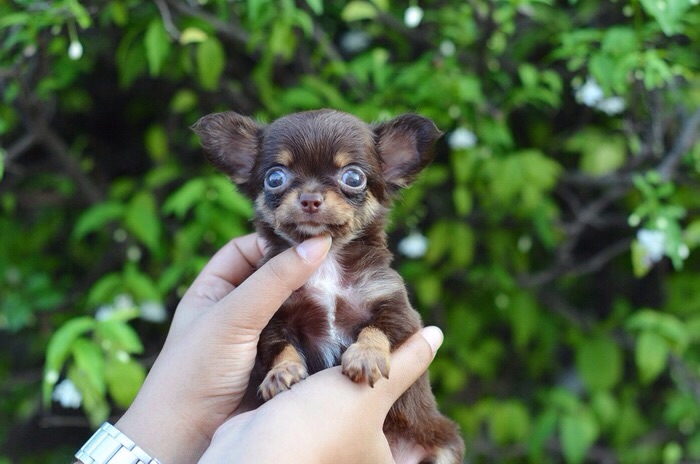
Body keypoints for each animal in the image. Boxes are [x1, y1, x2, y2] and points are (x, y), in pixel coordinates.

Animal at [193, 109, 464, 463]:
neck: (328, 263)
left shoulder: (398, 310)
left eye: (353, 178)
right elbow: (280, 347)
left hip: (443, 445)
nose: (310, 198)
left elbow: (377, 328)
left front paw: (365, 356)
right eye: (274, 178)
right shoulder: (273, 320)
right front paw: (282, 373)